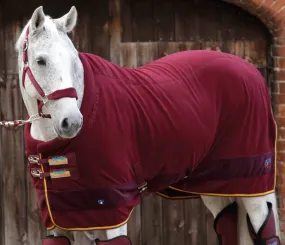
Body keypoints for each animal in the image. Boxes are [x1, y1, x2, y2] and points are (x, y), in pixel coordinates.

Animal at [13, 5, 280, 245]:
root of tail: (250, 71)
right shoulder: (60, 219)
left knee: (263, 227)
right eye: (40, 61)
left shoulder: (111, 210)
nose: (72, 122)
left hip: (253, 182)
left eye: (73, 59)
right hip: (215, 182)